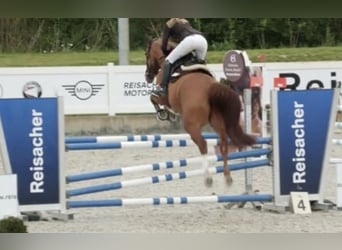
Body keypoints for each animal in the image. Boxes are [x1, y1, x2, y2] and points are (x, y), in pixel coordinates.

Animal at [144, 37, 256, 186]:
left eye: (146, 55)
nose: (147, 76)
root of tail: (211, 89)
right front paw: (170, 115)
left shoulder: (162, 97)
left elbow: (153, 98)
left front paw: (164, 114)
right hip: (217, 123)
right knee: (223, 144)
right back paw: (227, 177)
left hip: (191, 125)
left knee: (203, 144)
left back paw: (208, 178)